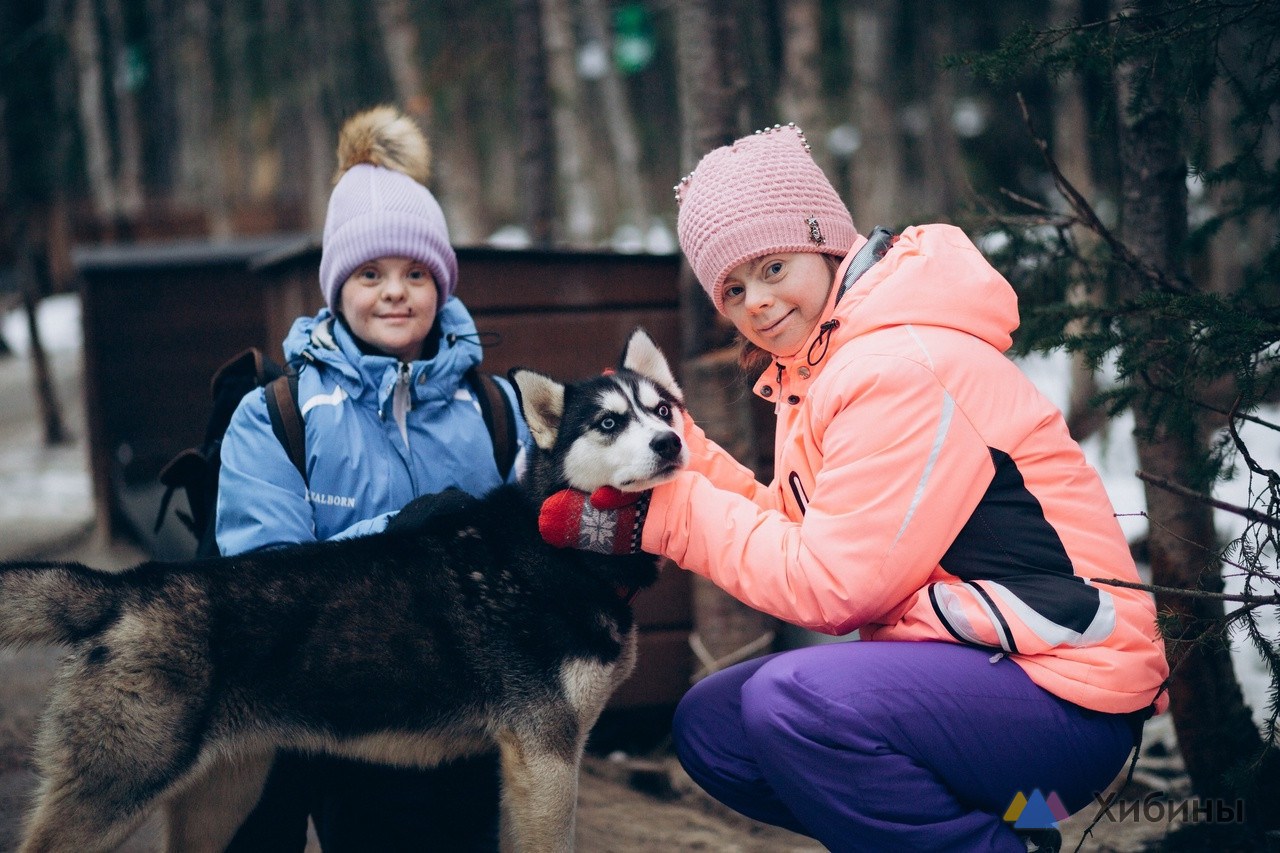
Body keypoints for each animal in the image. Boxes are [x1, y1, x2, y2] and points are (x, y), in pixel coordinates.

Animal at [0, 326, 691, 850]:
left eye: (662, 410)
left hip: (219, 797)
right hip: (121, 789)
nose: (670, 441)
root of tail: (126, 587)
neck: (560, 549)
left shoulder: (535, 762)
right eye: (608, 422)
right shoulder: (545, 758)